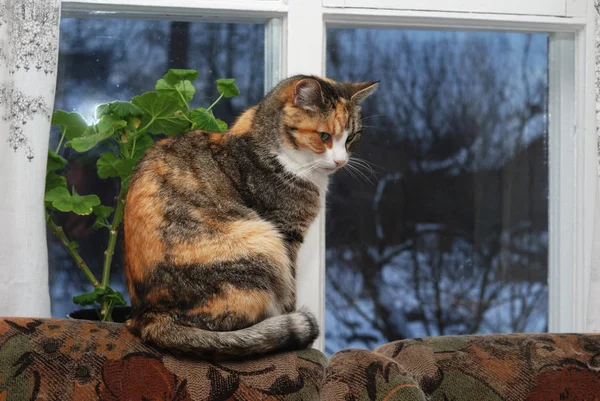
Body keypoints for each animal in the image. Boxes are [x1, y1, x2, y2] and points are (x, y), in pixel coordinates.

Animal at [122, 73, 378, 358]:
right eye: (324, 136)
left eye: (351, 138)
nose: (341, 161)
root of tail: (149, 318)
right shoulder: (286, 233)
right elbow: (291, 290)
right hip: (263, 243)